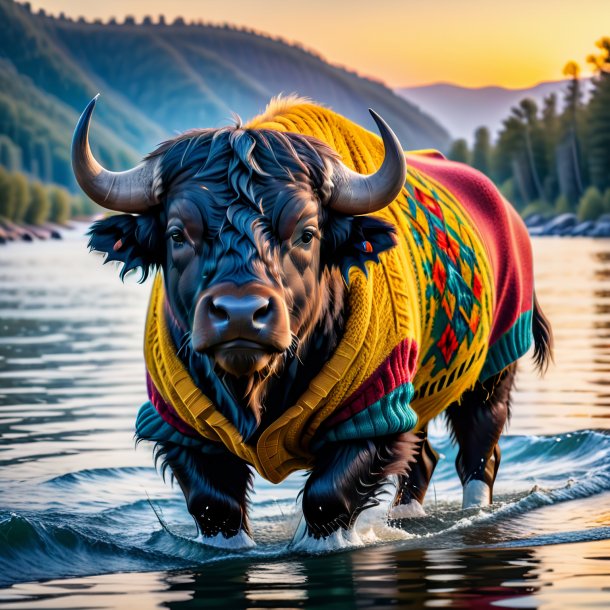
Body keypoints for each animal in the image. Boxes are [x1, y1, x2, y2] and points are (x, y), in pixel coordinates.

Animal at [71, 95, 552, 548]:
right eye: (177, 234)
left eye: (306, 233)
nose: (240, 313)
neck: (259, 388)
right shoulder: (181, 428)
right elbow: (216, 506)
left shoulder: (374, 411)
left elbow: (327, 497)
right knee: (423, 460)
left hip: (492, 373)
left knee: (478, 452)